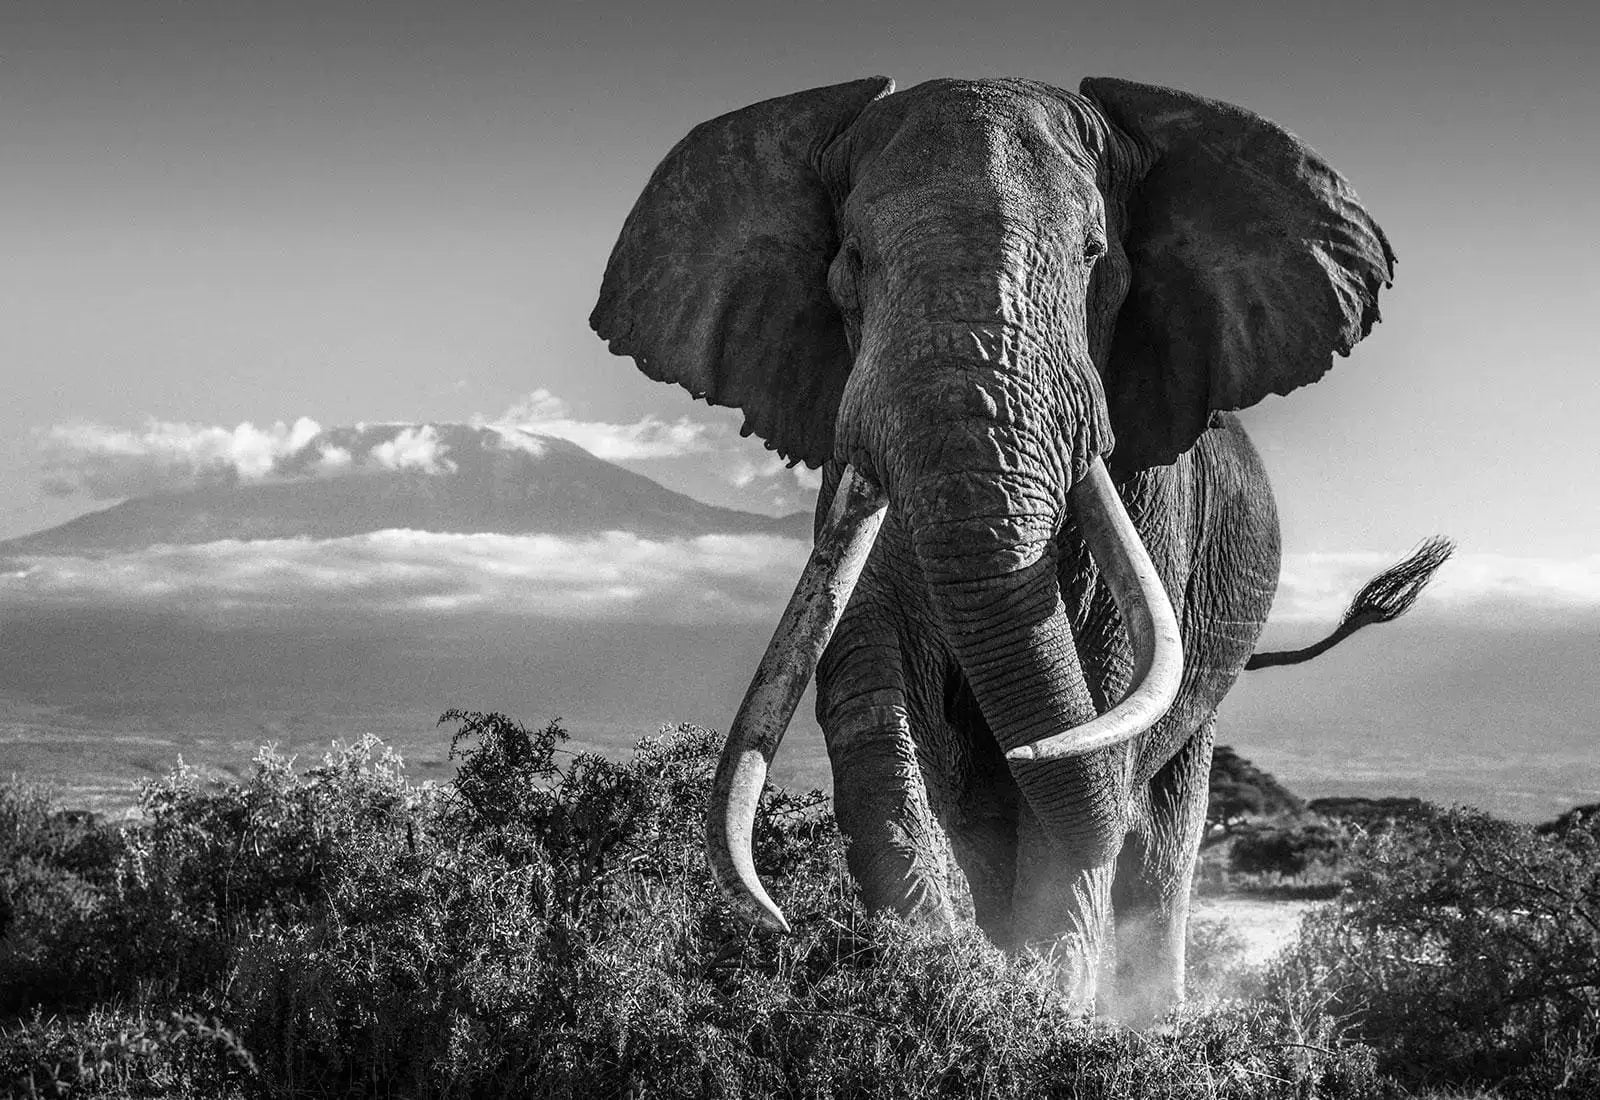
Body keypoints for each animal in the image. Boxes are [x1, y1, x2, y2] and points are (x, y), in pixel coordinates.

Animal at [590, 75, 1440, 1018]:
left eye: (1094, 257)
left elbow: (1093, 707)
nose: (774, 919)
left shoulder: (1154, 507)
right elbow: (879, 706)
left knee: (1161, 834)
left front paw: (1045, 1007)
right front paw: (950, 984)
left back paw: (1147, 1016)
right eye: (851, 262)